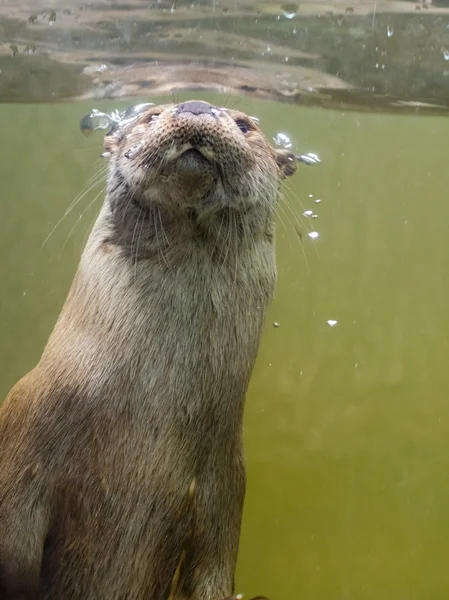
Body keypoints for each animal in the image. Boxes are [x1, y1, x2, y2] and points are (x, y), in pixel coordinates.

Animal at [0, 101, 296, 596]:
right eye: (152, 114)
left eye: (245, 125)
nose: (198, 105)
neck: (148, 420)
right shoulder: (23, 430)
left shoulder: (225, 485)